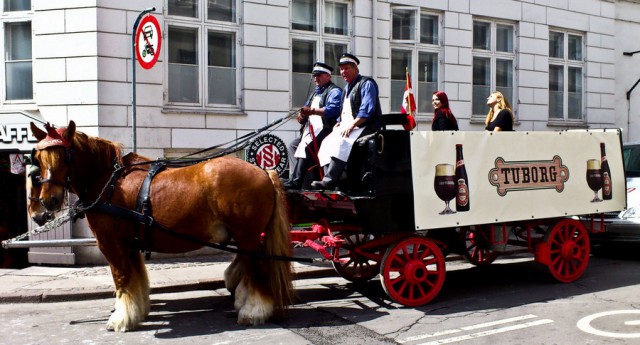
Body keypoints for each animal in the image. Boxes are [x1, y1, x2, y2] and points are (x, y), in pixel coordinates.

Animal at [28, 120, 292, 330]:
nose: (49, 201)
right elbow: (135, 278)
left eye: (66, 156)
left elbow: (122, 279)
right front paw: (137, 311)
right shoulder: (130, 244)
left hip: (248, 235)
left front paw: (120, 319)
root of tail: (263, 171)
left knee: (257, 269)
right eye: (40, 159)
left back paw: (254, 311)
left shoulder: (111, 244)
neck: (109, 182)